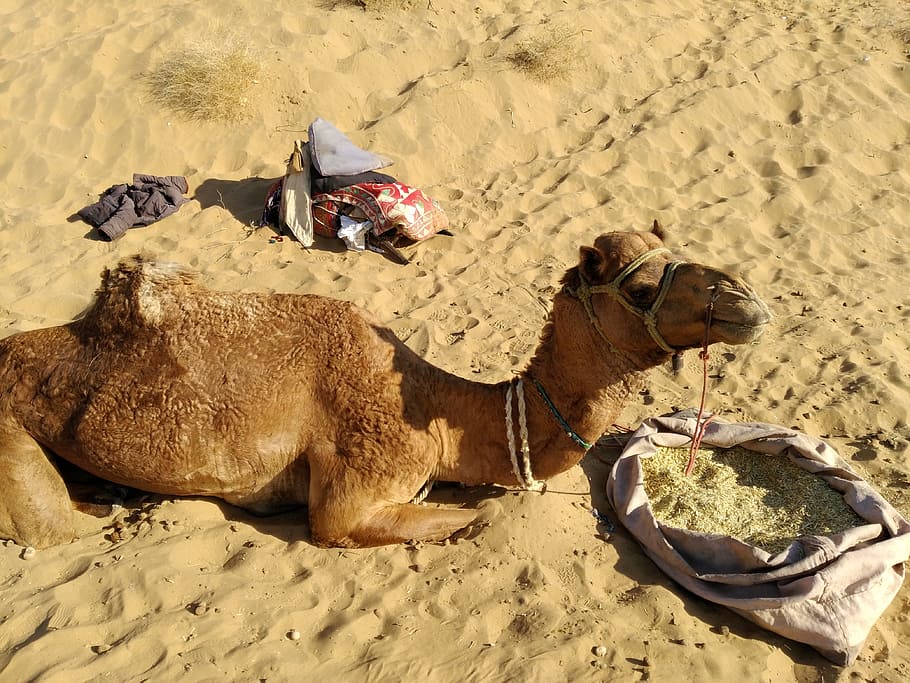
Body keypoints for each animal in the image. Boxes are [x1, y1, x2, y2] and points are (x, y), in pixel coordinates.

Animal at [0, 225, 771, 549]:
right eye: (641, 285)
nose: (746, 299)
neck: (445, 417)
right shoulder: (355, 489)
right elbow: (463, 519)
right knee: (51, 531)